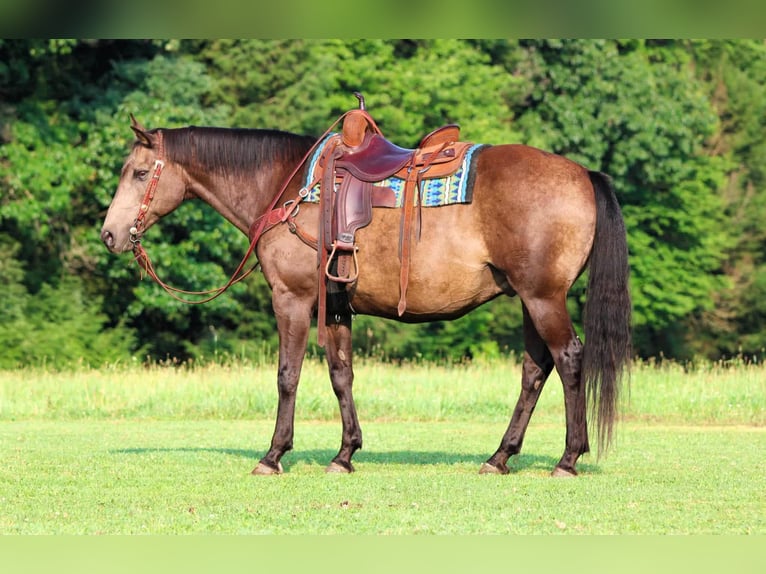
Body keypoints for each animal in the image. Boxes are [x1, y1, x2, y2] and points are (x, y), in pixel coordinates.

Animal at [100, 111, 631, 477]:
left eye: (140, 174)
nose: (109, 234)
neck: (287, 188)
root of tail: (583, 174)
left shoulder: (292, 300)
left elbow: (288, 376)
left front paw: (273, 454)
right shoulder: (336, 308)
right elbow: (341, 376)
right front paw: (345, 453)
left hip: (544, 298)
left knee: (569, 359)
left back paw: (567, 459)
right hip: (528, 299)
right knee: (535, 370)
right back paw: (499, 456)